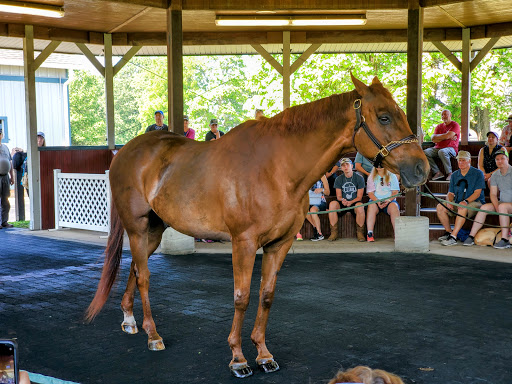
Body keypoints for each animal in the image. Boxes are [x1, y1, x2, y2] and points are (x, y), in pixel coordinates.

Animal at [87, 75, 428, 378]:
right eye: (384, 117)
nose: (421, 169)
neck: (277, 168)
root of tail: (125, 152)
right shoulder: (244, 242)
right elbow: (242, 297)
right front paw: (238, 359)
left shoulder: (280, 244)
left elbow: (266, 295)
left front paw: (263, 355)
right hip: (137, 227)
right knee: (144, 276)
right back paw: (153, 335)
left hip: (154, 231)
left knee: (135, 269)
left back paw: (130, 321)